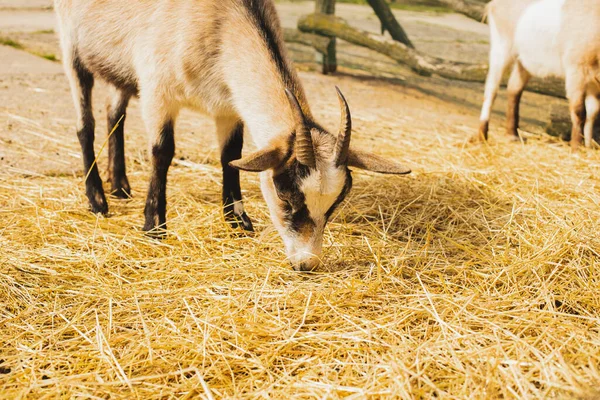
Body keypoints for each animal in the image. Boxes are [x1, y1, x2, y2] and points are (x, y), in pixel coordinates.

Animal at [55, 0, 412, 272]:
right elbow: (162, 151)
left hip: (120, 71)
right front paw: (154, 226)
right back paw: (98, 199)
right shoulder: (158, 90)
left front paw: (238, 220)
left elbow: (231, 156)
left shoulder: (227, 106)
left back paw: (120, 187)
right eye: (286, 196)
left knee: (114, 114)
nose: (306, 263)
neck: (223, 22)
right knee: (85, 123)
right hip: (72, 46)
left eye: (334, 205)